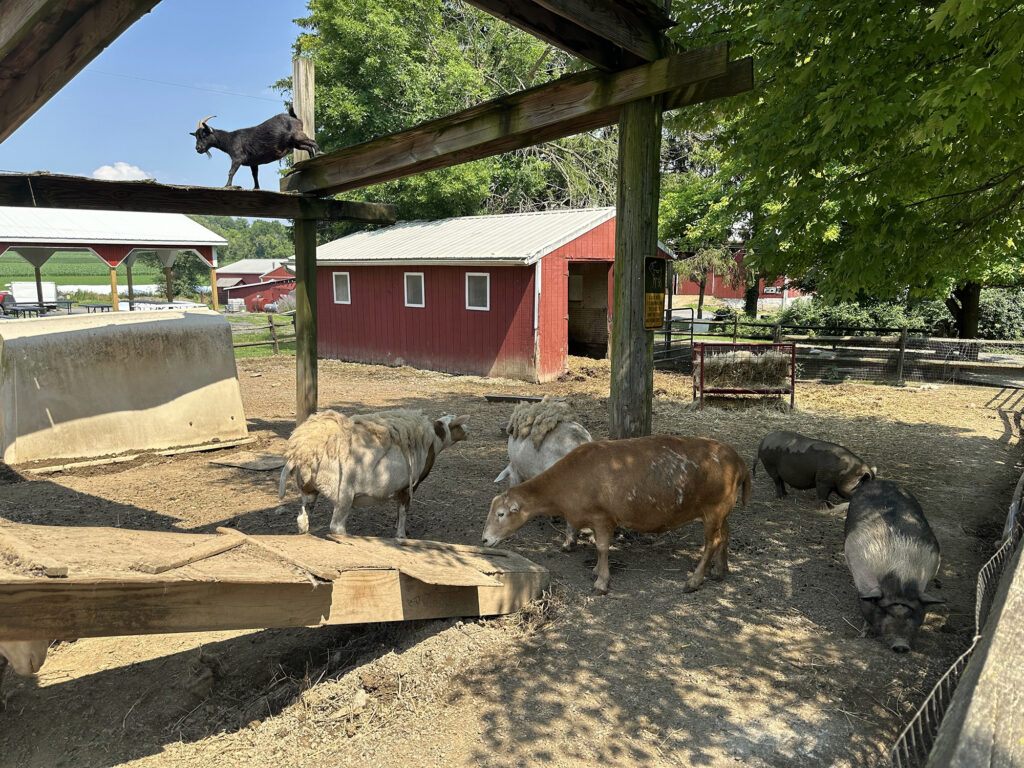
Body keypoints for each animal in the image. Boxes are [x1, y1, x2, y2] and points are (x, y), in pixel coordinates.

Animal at [190, 107, 319, 191]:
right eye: (196, 136)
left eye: (204, 135)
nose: (198, 148)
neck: (230, 140)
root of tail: (294, 117)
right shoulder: (253, 162)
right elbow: (255, 174)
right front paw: (256, 188)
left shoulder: (237, 158)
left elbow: (231, 171)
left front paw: (227, 186)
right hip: (295, 143)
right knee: (308, 147)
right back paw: (310, 161)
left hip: (298, 136)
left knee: (313, 142)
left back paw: (318, 154)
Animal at [282, 409, 468, 540]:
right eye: (458, 425)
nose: (468, 432)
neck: (435, 440)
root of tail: (302, 451)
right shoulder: (409, 486)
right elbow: (404, 510)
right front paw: (401, 535)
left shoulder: (400, 487)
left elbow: (399, 511)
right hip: (343, 494)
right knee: (336, 527)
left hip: (308, 489)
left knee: (303, 519)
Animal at [839, 481, 942, 655]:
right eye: (886, 611)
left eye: (912, 612)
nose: (901, 645)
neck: (899, 575)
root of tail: (879, 481)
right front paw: (862, 635)